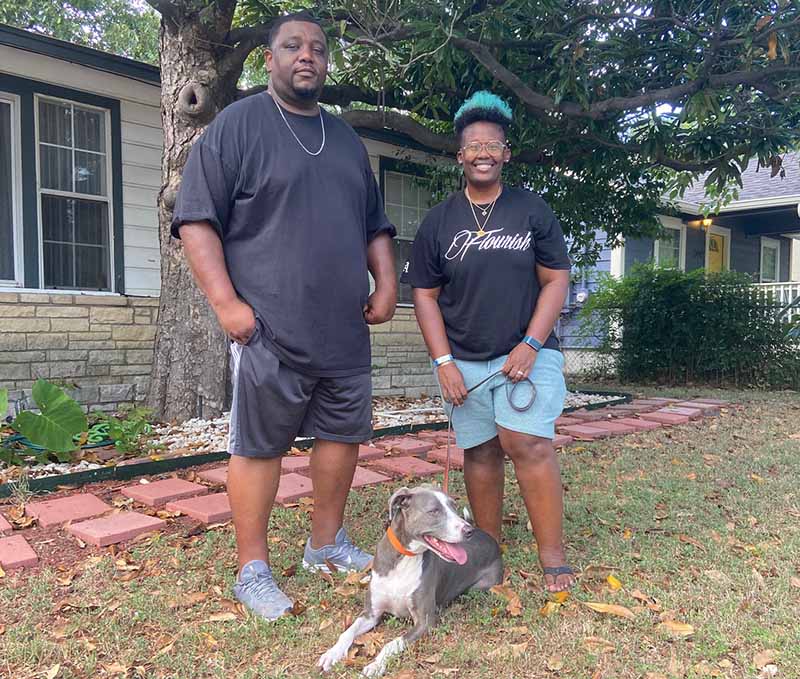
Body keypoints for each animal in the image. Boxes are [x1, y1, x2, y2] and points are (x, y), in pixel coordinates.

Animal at [318, 486, 500, 676]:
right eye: (434, 511)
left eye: (453, 507)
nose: (468, 531)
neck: (404, 558)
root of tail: (489, 538)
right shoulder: (371, 613)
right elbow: (348, 631)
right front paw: (332, 654)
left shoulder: (424, 622)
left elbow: (392, 643)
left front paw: (375, 665)